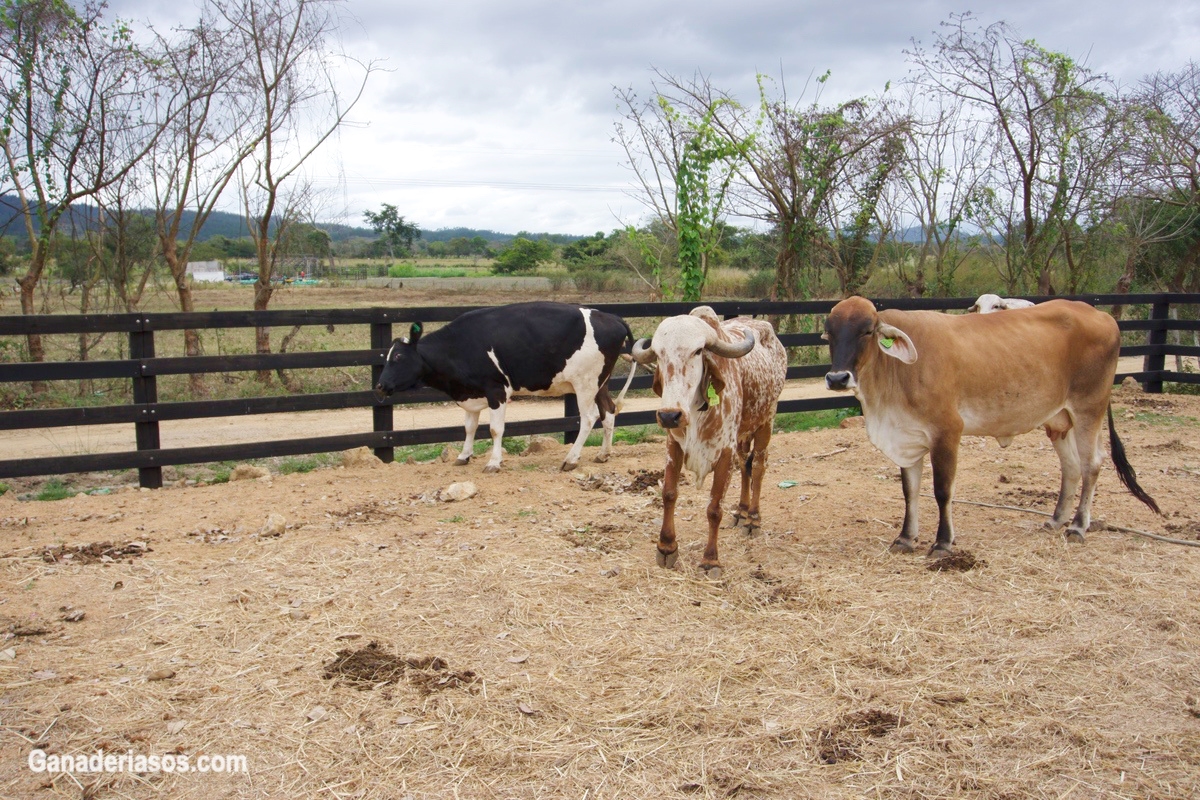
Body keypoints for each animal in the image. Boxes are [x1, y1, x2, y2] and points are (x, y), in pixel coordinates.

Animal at [374, 302, 638, 474]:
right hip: (600, 382)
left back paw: (571, 459)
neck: (459, 346)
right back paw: (603, 454)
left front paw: (493, 462)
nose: (380, 385)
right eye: (387, 356)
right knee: (609, 411)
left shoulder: (496, 391)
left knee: (589, 417)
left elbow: (495, 429)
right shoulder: (471, 394)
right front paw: (463, 456)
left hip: (585, 383)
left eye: (398, 356)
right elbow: (469, 427)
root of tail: (612, 317)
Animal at [633, 304, 792, 575]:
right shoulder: (673, 446)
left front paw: (710, 560)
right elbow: (669, 494)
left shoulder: (724, 452)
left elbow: (714, 508)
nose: (669, 415)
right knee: (745, 465)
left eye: (698, 351)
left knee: (758, 466)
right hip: (742, 435)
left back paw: (753, 518)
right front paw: (666, 547)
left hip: (766, 421)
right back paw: (741, 512)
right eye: (659, 354)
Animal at [820, 296, 1156, 556]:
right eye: (829, 333)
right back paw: (1057, 519)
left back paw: (1077, 526)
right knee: (1071, 466)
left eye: (867, 331)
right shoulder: (908, 437)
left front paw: (943, 543)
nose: (837, 378)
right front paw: (905, 538)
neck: (896, 373)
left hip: (1089, 409)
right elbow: (910, 491)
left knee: (1092, 464)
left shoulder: (947, 433)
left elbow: (942, 491)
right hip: (1059, 419)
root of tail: (1102, 315)